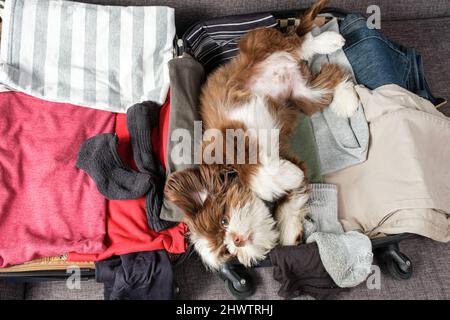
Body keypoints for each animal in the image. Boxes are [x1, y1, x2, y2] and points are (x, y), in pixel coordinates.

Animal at [165, 0, 358, 270]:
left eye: (224, 221)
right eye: (227, 250)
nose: (236, 240)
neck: (230, 174)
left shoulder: (227, 140)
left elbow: (256, 172)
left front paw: (277, 178)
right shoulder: (289, 160)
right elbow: (291, 197)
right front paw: (289, 232)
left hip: (258, 41)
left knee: (299, 42)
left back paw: (327, 42)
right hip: (304, 95)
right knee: (330, 75)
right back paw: (346, 99)